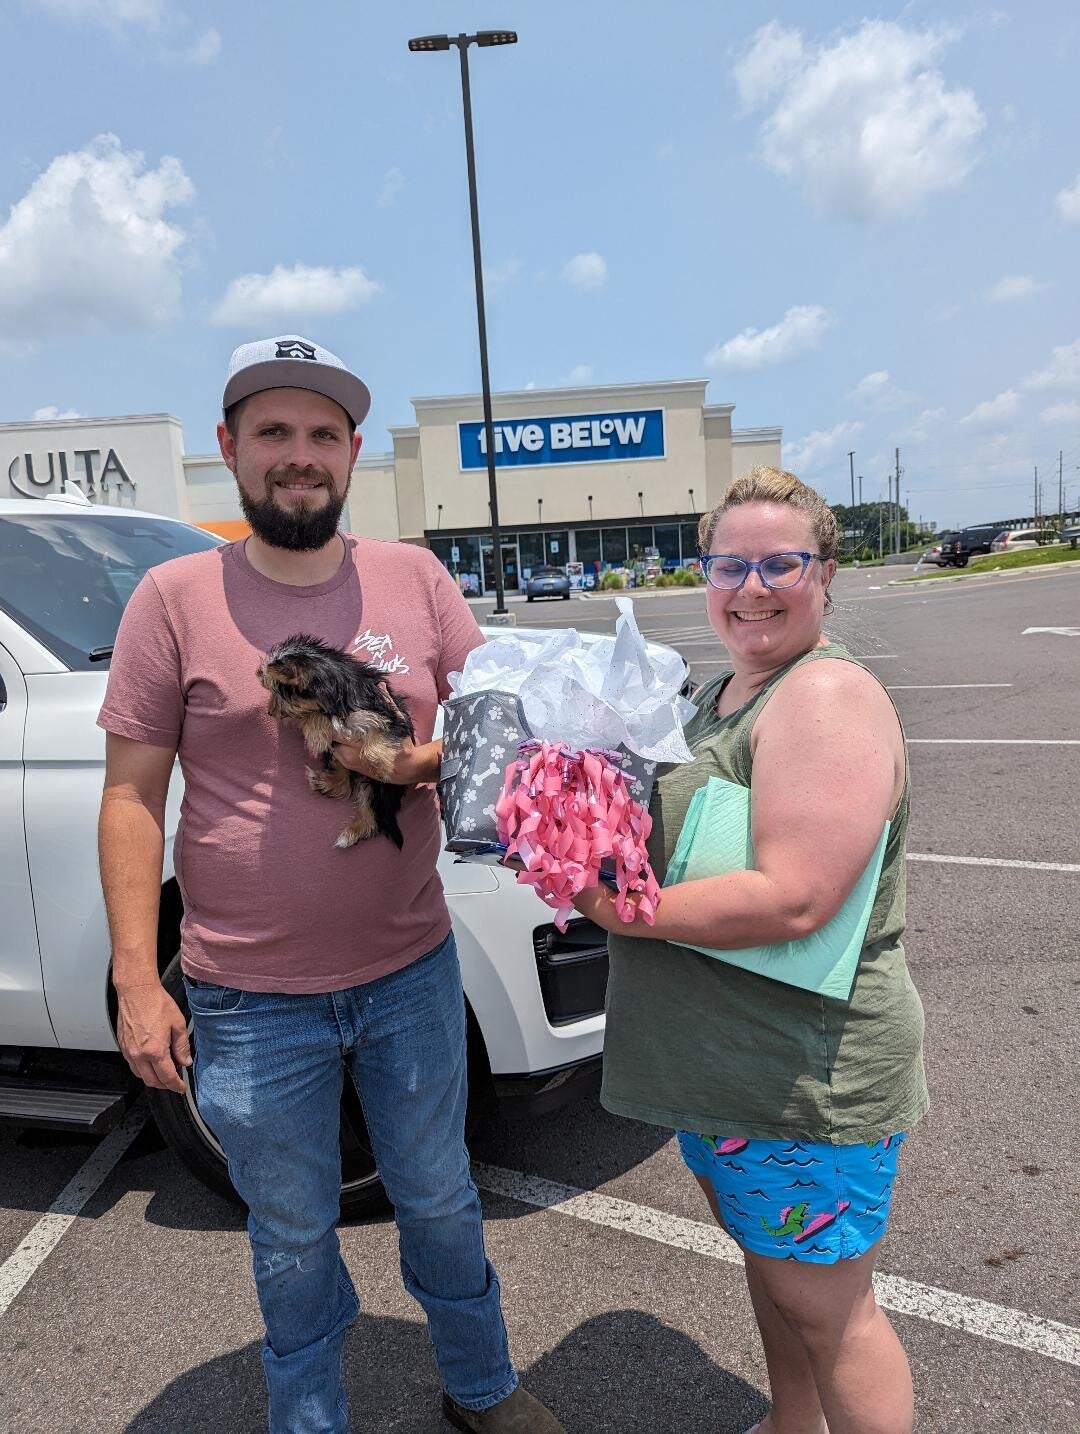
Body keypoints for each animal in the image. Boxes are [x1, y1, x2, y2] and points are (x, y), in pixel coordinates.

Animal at [257, 633, 415, 849]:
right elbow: (313, 716)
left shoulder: (388, 713)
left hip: (376, 787)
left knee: (371, 812)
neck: (336, 702)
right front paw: (317, 733)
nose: (269, 712)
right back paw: (324, 783)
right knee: (344, 783)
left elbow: (381, 733)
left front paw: (380, 764)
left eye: (277, 692)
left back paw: (351, 832)